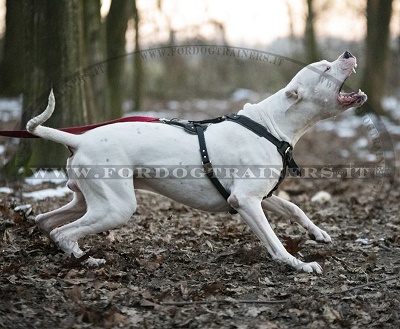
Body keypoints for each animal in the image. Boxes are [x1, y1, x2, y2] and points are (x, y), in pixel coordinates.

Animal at [27, 51, 366, 272]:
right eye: (325, 68)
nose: (348, 52)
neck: (271, 125)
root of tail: (80, 139)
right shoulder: (245, 201)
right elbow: (274, 241)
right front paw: (298, 264)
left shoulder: (260, 196)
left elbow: (295, 208)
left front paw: (317, 233)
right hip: (116, 207)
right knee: (63, 233)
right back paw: (87, 260)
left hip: (88, 200)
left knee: (47, 222)